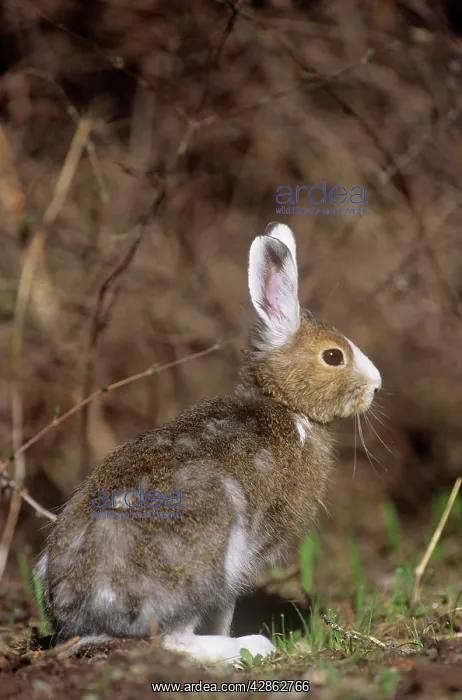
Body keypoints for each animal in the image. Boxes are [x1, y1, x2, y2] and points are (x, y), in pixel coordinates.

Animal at [35, 222, 381, 665]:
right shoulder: (244, 555)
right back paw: (250, 646)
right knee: (172, 639)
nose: (376, 386)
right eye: (334, 356)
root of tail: (85, 610)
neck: (284, 402)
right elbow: (224, 608)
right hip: (205, 554)